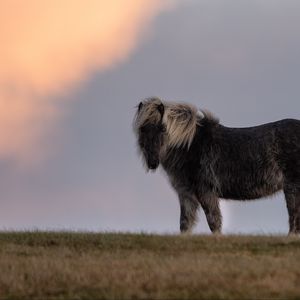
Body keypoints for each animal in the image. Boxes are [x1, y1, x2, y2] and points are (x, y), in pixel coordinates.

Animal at [133, 96, 300, 234]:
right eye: (142, 129)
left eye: (162, 128)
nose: (152, 162)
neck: (191, 145)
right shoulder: (186, 194)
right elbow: (185, 224)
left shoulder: (206, 192)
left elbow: (214, 222)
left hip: (292, 187)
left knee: (294, 218)